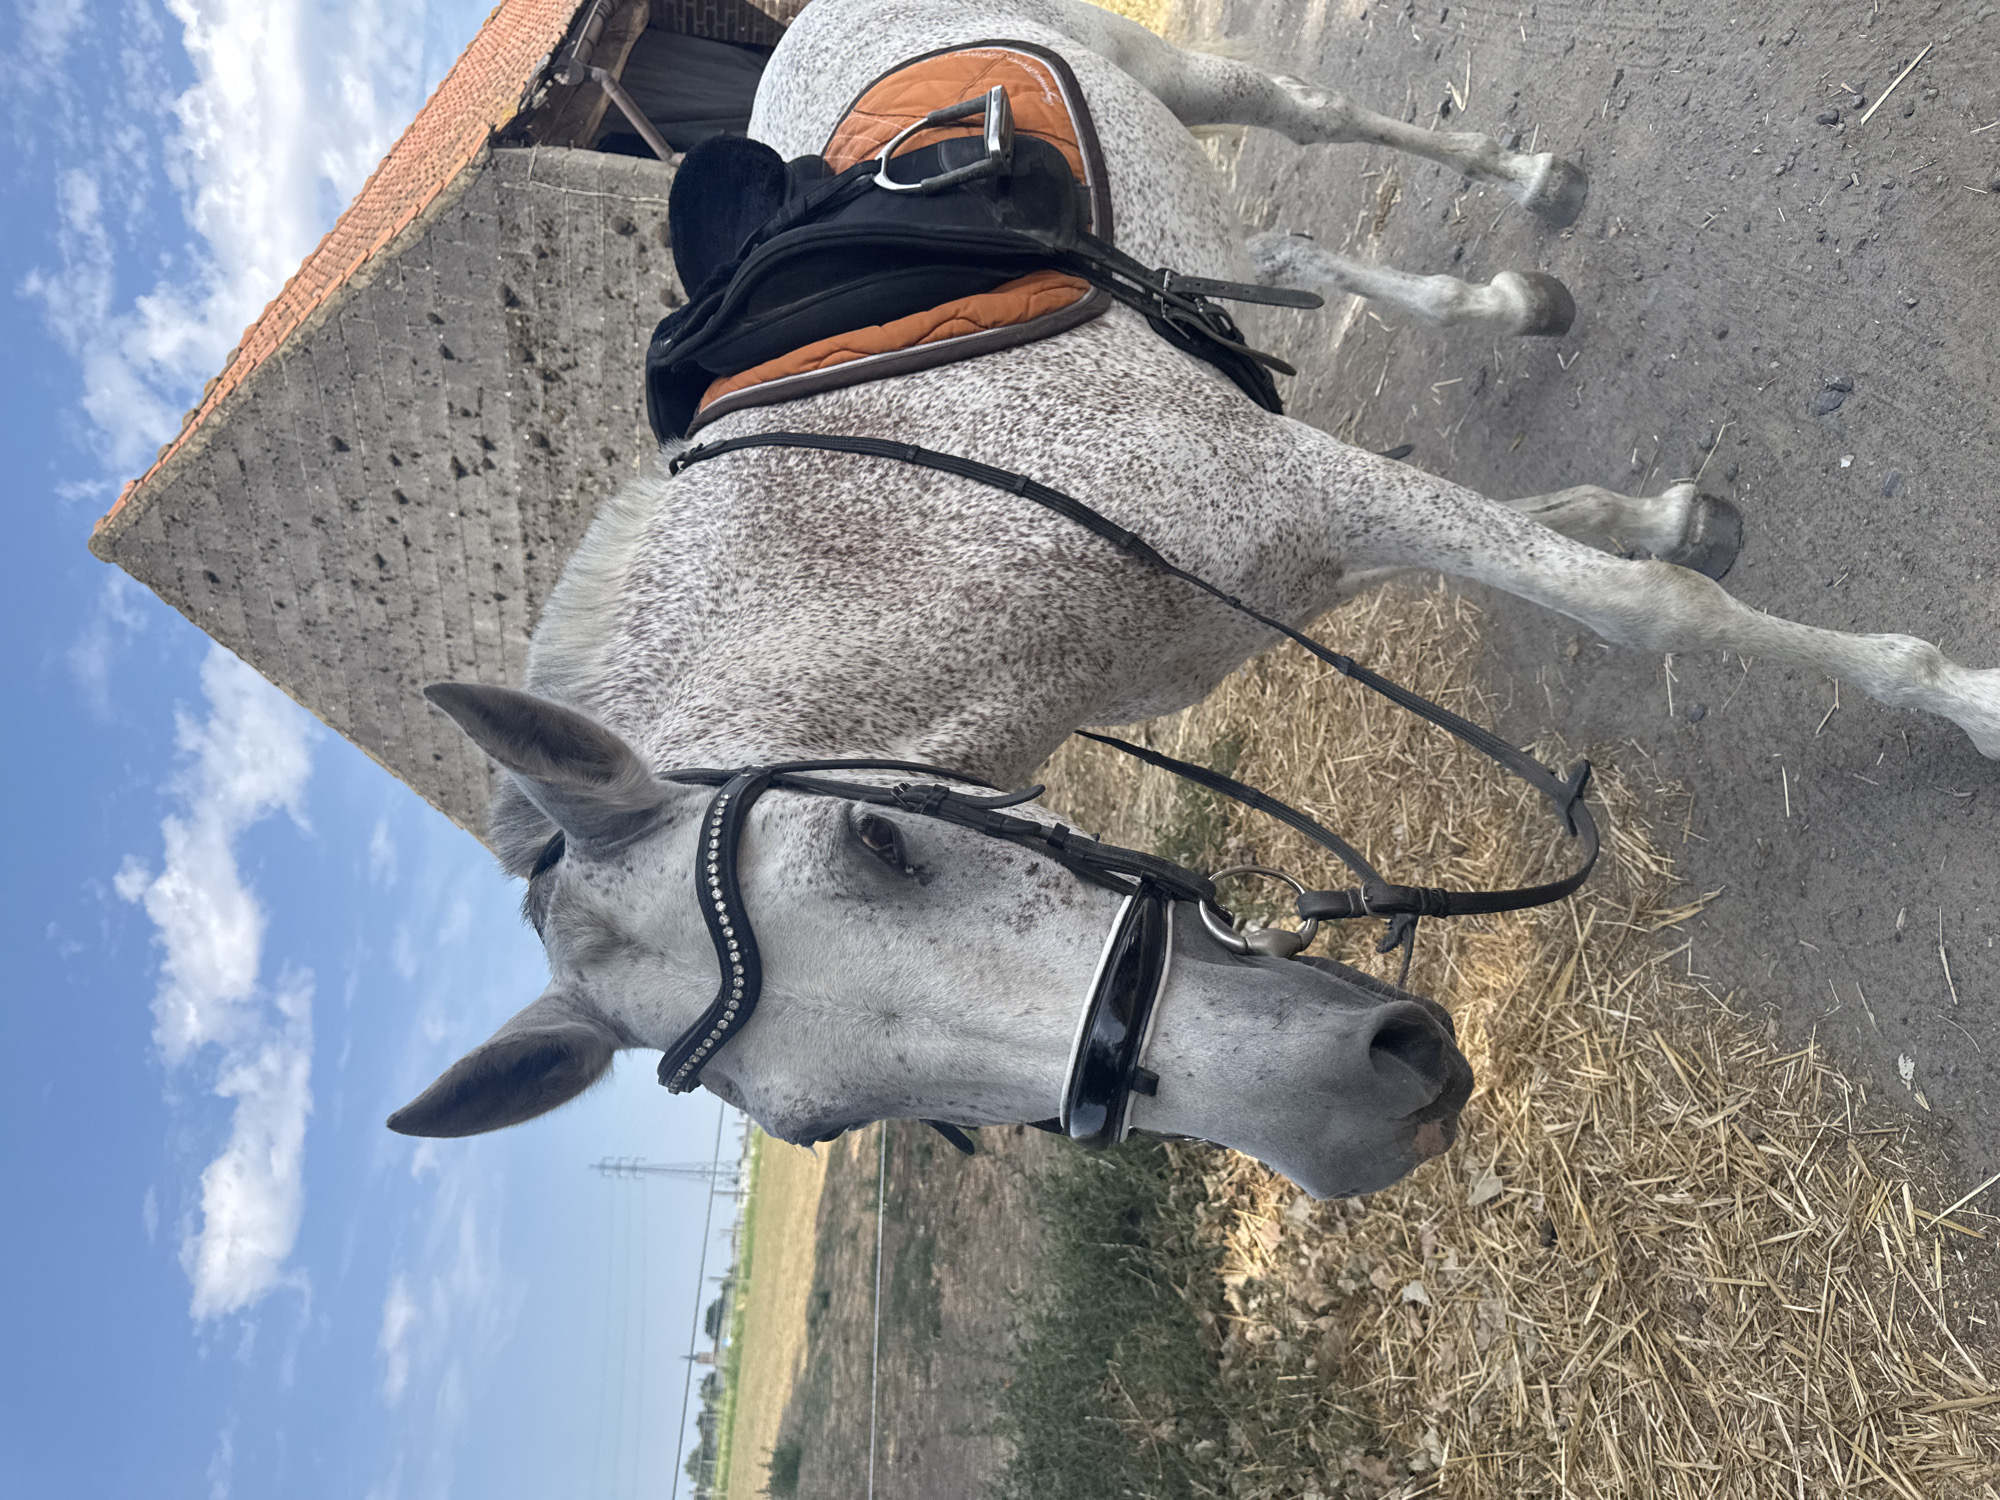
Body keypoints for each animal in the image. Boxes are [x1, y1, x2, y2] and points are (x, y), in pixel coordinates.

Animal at [386, 0, 2000, 1200]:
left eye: (881, 840)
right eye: (822, 1124)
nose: (1358, 1116)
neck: (912, 542)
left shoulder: (1304, 489)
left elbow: (1647, 609)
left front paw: (1963, 700)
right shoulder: (1283, 545)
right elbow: (1558, 544)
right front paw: (1647, 513)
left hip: (1183, 71)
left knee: (1310, 117)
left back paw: (1532, 195)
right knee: (1274, 253)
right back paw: (1505, 302)